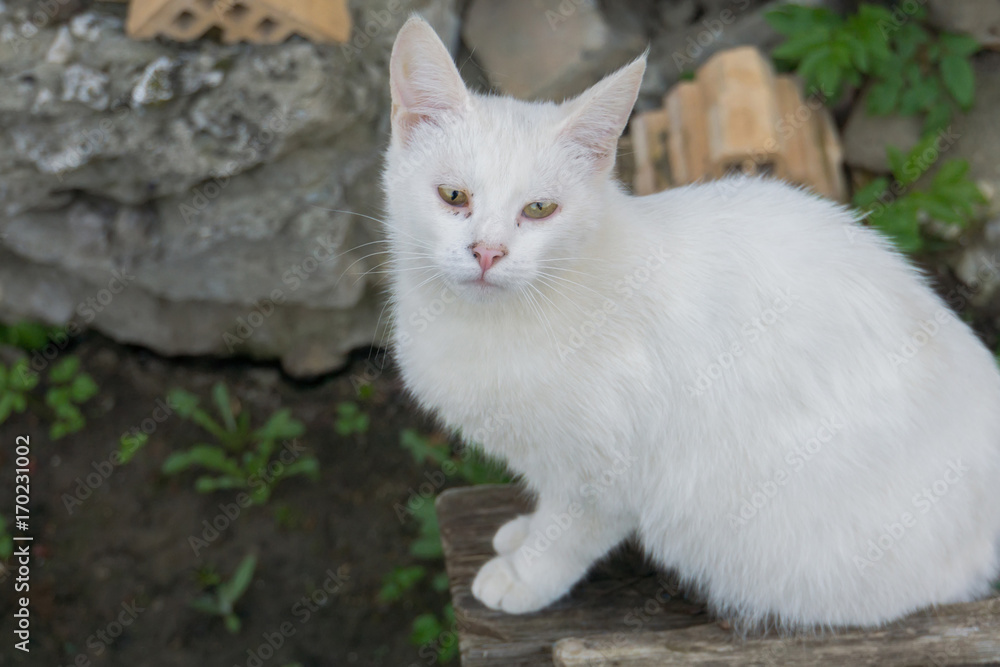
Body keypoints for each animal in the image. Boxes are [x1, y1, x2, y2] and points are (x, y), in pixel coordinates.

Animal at [380, 17, 1000, 632]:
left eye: (539, 210)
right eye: (453, 195)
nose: (488, 252)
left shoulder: (607, 478)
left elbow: (567, 534)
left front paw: (526, 575)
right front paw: (521, 535)